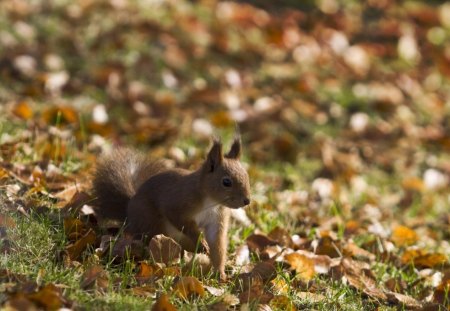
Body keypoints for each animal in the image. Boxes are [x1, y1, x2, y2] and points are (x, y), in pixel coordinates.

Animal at [92, 138, 251, 280]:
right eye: (226, 182)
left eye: (247, 176)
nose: (247, 201)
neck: (211, 202)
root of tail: (129, 212)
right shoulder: (177, 203)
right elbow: (180, 221)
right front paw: (201, 242)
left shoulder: (217, 219)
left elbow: (217, 244)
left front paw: (220, 273)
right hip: (151, 223)